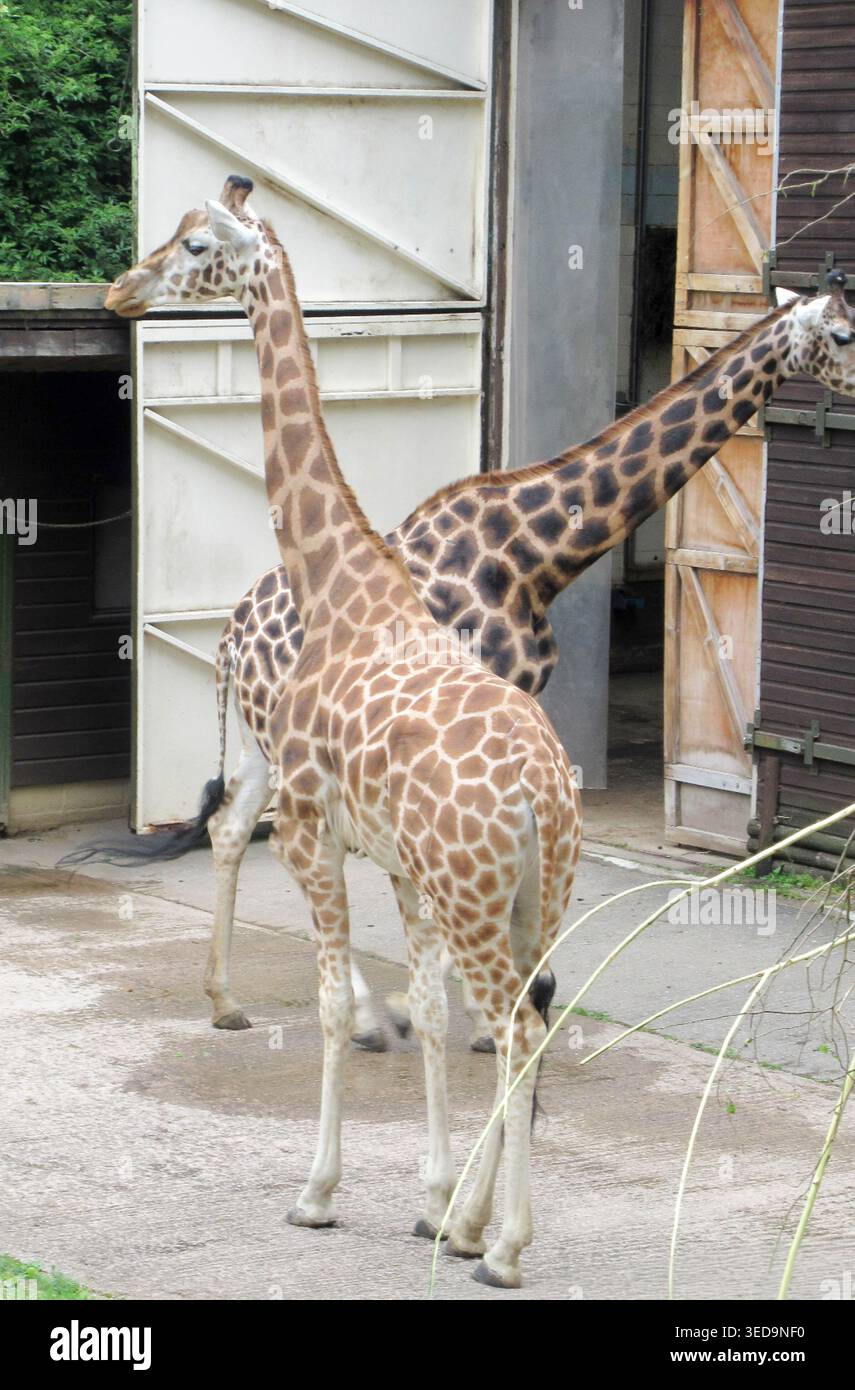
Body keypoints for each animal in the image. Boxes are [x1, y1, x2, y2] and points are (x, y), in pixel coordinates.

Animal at [103, 176, 583, 1287]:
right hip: (534, 898)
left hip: (476, 894)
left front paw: (320, 1193)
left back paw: (506, 1249)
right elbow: (429, 1010)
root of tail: (545, 793)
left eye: (196, 245)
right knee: (529, 1020)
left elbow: (332, 1007)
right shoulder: (398, 866)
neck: (340, 584)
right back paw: (477, 1228)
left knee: (517, 1028)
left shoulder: (312, 834)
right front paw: (436, 1198)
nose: (121, 290)